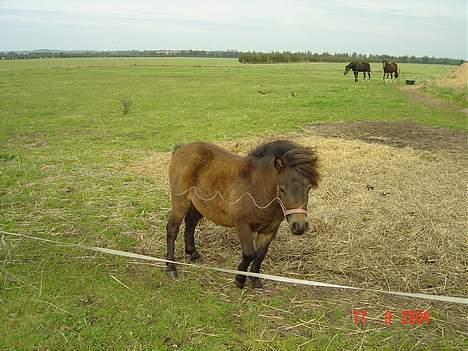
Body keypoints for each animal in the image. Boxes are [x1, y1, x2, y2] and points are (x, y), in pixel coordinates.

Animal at [163, 140, 320, 288]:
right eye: (282, 189)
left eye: (308, 187)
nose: (299, 226)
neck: (257, 188)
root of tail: (180, 149)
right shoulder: (242, 225)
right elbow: (249, 253)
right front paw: (239, 279)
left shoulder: (269, 231)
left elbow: (260, 255)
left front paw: (255, 280)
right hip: (181, 202)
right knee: (172, 229)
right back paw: (171, 267)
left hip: (198, 205)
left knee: (190, 224)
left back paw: (193, 253)